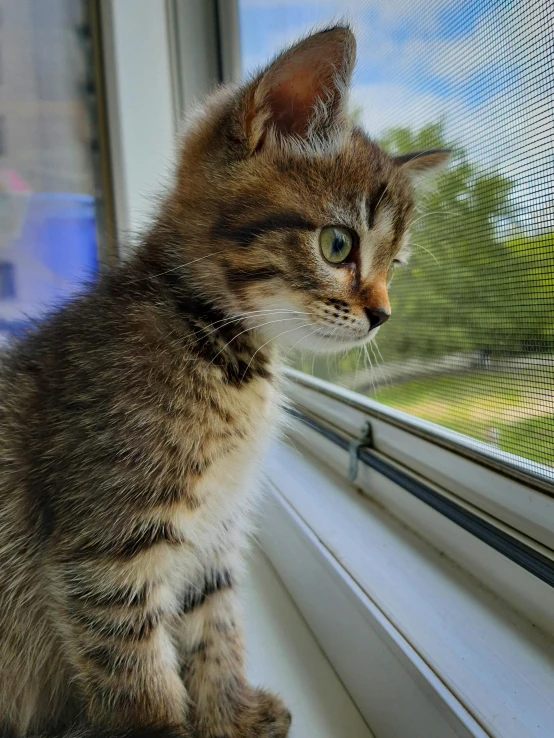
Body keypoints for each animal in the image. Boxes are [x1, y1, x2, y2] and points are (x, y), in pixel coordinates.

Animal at [0, 23, 448, 736]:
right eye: (338, 245)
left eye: (394, 265)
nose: (382, 314)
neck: (215, 344)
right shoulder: (105, 553)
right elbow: (138, 677)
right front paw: (169, 721)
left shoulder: (214, 529)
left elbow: (216, 622)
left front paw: (229, 712)